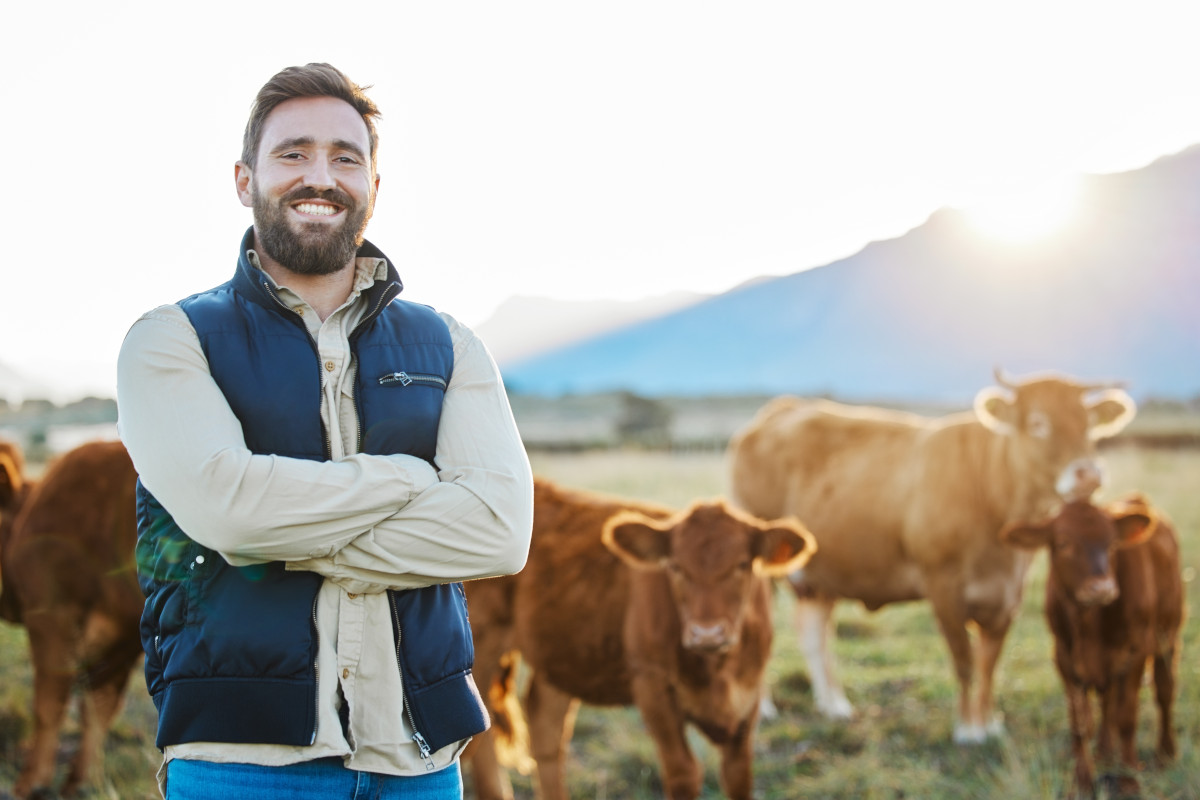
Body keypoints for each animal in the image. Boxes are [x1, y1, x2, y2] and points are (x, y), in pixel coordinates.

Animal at [0, 441, 143, 796]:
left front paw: (29, 783)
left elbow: (49, 704)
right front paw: (81, 782)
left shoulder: (51, 612)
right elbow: (100, 707)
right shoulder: (125, 636)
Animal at [463, 479, 811, 800]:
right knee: (482, 730)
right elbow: (684, 771)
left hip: (561, 651)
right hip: (483, 640)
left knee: (545, 728)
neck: (717, 673)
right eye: (675, 567)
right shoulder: (652, 685)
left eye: (742, 564)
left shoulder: (749, 696)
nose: (707, 633)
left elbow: (738, 774)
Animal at [729, 371, 1132, 743]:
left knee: (814, 633)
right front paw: (968, 730)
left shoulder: (1007, 597)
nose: (1089, 474)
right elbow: (965, 661)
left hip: (821, 574)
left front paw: (989, 723)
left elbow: (989, 664)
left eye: (1089, 425)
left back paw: (834, 705)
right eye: (1038, 424)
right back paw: (763, 708)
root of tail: (782, 408)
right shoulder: (944, 589)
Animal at [1003, 494, 1180, 800]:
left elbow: (1127, 718)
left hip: (1168, 634)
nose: (1102, 588)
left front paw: (1129, 779)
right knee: (1107, 700)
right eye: (1063, 542)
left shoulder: (1135, 652)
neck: (1089, 623)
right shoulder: (1063, 656)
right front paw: (1082, 781)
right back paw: (1105, 752)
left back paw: (1166, 753)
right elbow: (1081, 723)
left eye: (1113, 544)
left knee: (1165, 691)